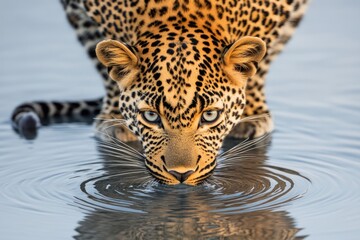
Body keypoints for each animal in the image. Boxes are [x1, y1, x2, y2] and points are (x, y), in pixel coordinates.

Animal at [11, 0, 310, 186]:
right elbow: (104, 58)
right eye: (151, 117)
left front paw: (250, 114)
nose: (181, 175)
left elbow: (260, 54)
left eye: (210, 116)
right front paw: (115, 118)